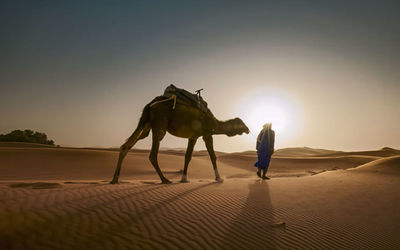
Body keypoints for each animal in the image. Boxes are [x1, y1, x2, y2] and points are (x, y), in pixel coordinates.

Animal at [109, 88, 247, 184]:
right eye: (242, 123)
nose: (248, 129)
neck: (214, 122)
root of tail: (149, 105)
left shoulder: (193, 136)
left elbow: (187, 156)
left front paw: (184, 178)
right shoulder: (207, 134)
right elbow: (212, 156)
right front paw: (218, 178)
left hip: (146, 126)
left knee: (126, 146)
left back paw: (115, 179)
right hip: (159, 126)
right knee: (152, 154)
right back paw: (164, 180)